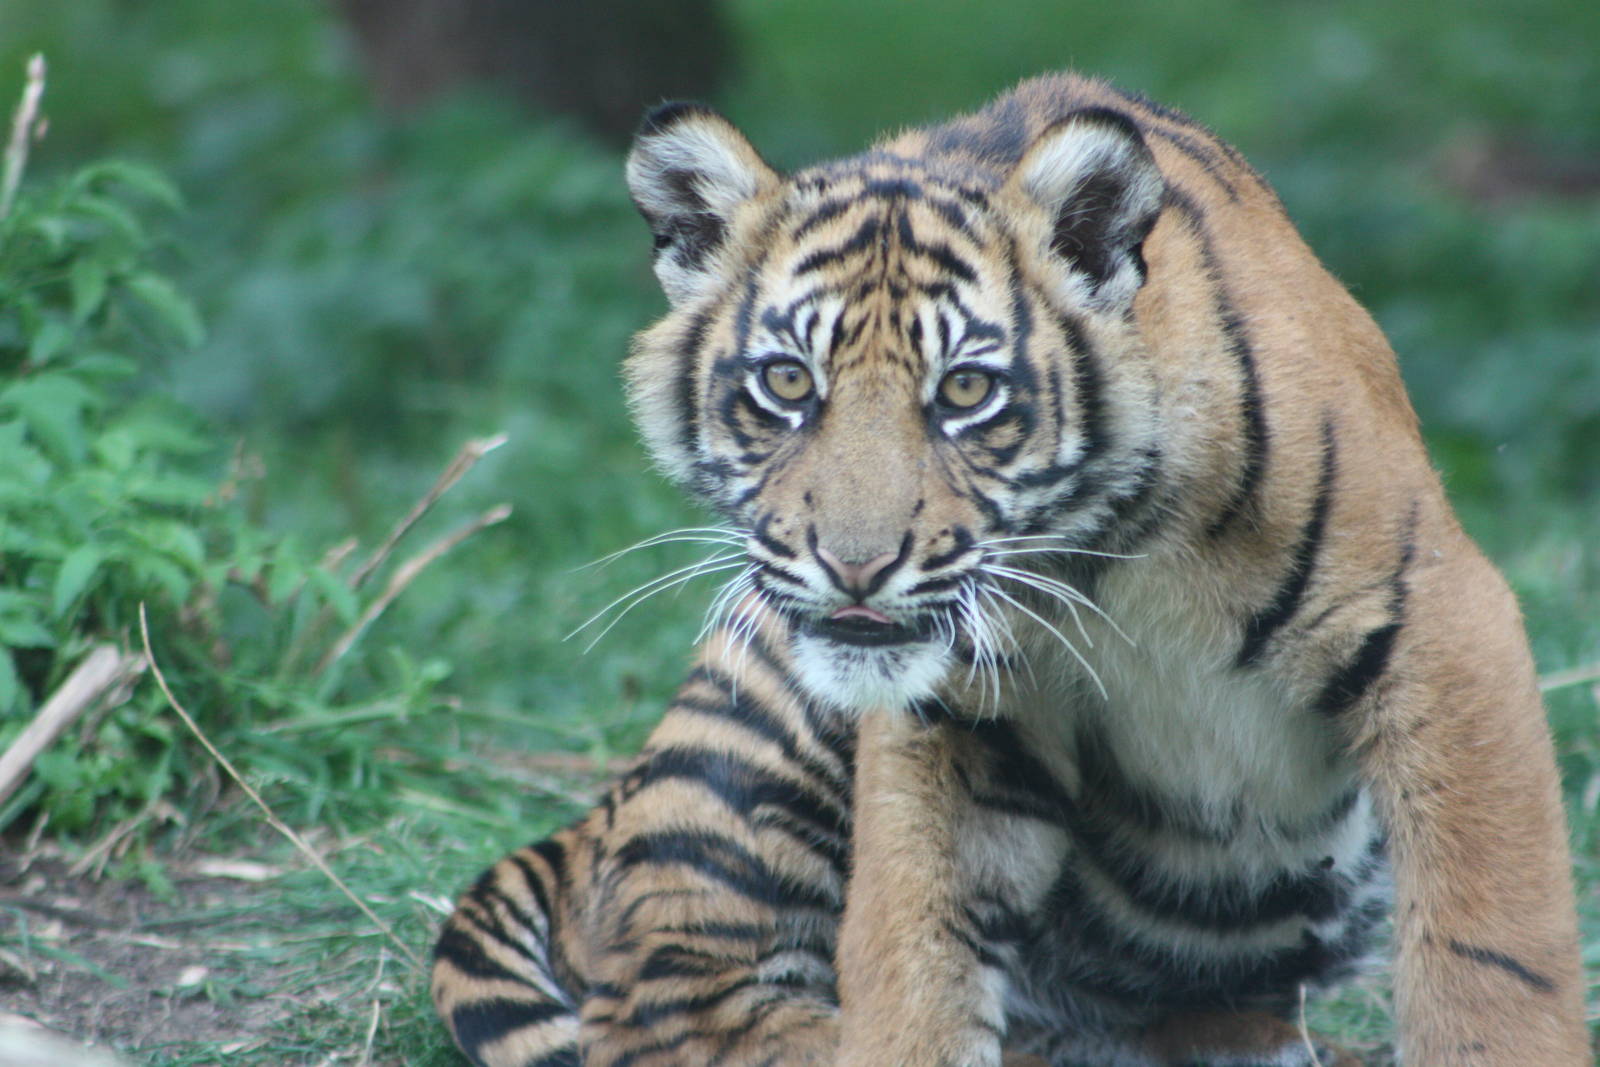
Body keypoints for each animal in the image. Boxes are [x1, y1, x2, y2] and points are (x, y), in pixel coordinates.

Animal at [430, 72, 1587, 1066]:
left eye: (964, 391)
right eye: (788, 382)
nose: (855, 566)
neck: (1107, 546)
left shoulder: (1439, 627)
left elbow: (1492, 947)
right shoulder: (948, 718)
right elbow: (910, 947)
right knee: (671, 989)